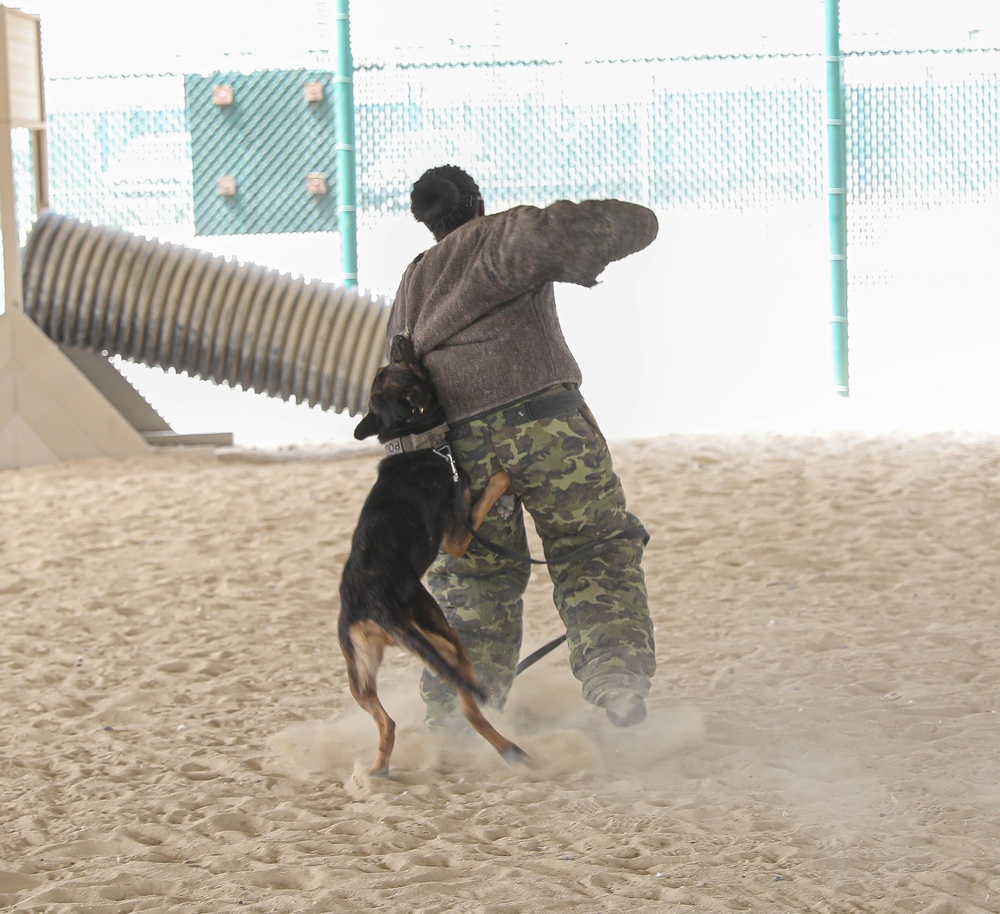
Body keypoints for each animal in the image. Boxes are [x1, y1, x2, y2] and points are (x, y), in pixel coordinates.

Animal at [338, 334, 528, 776]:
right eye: (395, 366)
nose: (398, 336)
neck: (414, 446)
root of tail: (376, 606)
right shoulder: (455, 536)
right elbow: (486, 490)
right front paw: (504, 479)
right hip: (447, 639)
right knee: (471, 710)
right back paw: (511, 749)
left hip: (359, 674)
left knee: (387, 723)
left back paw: (377, 771)